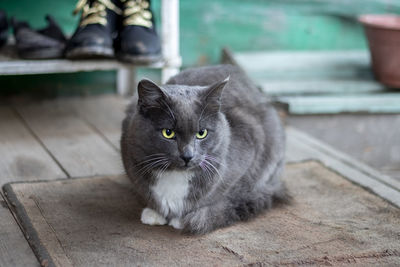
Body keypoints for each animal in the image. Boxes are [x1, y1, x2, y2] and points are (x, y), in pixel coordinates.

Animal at [120, 65, 286, 234]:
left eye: (202, 133)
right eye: (168, 132)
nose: (187, 156)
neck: (176, 175)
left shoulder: (250, 145)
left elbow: (234, 191)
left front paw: (183, 218)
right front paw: (154, 213)